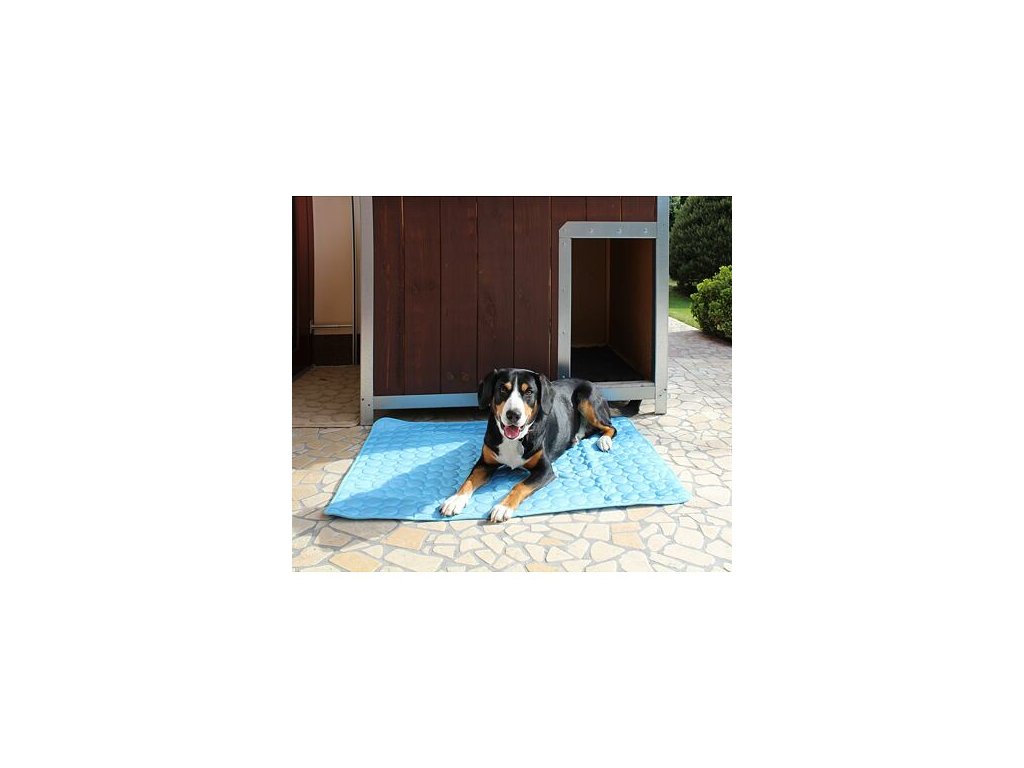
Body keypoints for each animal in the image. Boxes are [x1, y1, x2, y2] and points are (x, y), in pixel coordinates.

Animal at [440, 368, 634, 523]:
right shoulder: (485, 463)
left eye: (529, 392)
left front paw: (502, 507)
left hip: (587, 401)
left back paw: (604, 441)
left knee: (610, 427)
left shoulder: (545, 469)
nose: (513, 414)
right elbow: (468, 481)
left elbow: (519, 486)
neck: (515, 439)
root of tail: (589, 382)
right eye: (502, 389)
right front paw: (454, 500)